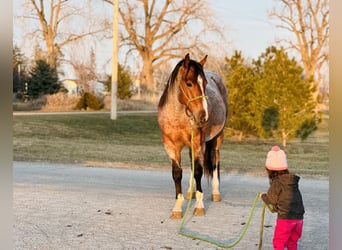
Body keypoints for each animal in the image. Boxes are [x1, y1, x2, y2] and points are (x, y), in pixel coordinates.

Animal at [158, 53, 228, 219]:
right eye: (189, 83)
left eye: (205, 83)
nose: (203, 116)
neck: (177, 118)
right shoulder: (171, 146)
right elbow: (177, 173)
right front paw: (177, 207)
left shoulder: (197, 143)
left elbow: (198, 171)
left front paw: (199, 206)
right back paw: (191, 192)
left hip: (217, 138)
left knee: (215, 161)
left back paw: (215, 192)